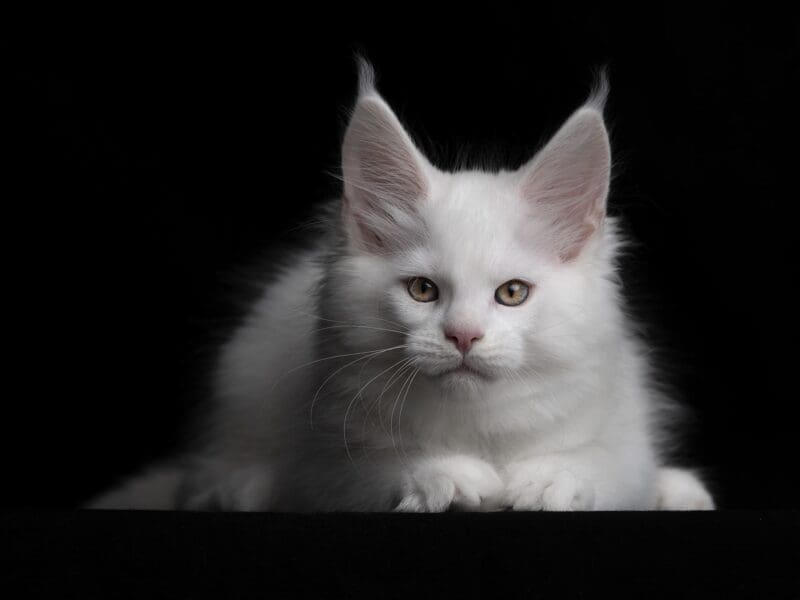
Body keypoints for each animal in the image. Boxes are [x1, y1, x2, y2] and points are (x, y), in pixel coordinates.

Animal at [90, 59, 716, 510]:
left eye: (512, 293)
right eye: (422, 290)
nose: (463, 336)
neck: (476, 425)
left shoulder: (620, 418)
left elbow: (612, 468)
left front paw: (549, 480)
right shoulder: (322, 451)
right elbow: (367, 472)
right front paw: (446, 477)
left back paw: (680, 490)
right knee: (204, 483)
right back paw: (237, 487)